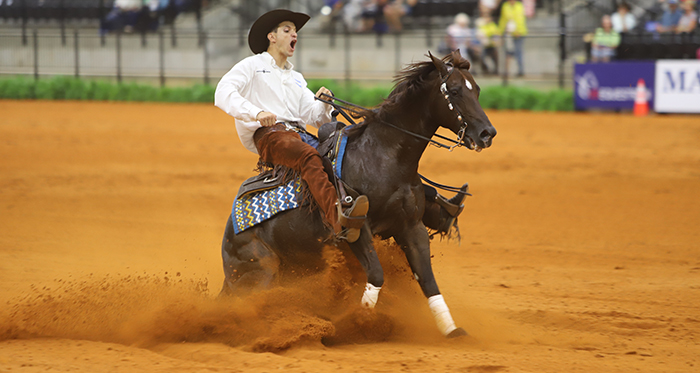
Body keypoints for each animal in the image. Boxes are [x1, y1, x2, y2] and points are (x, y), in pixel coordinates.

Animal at [220, 50, 498, 338]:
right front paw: (361, 323)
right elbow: (376, 274)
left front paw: (451, 329)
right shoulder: (357, 230)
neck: (384, 156)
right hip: (262, 272)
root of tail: (230, 234)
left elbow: (428, 280)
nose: (487, 133)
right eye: (454, 91)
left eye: (476, 89)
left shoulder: (411, 227)